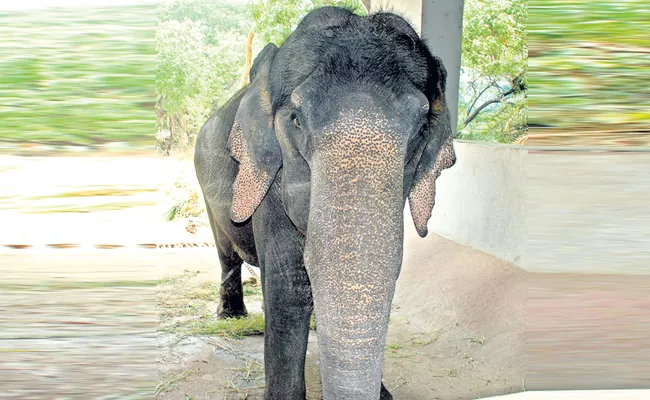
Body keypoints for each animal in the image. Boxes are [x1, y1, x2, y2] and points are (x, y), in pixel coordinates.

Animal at [195, 6, 454, 400]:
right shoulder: (272, 182)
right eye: (296, 119)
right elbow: (289, 288)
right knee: (227, 252)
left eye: (422, 128)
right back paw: (232, 317)